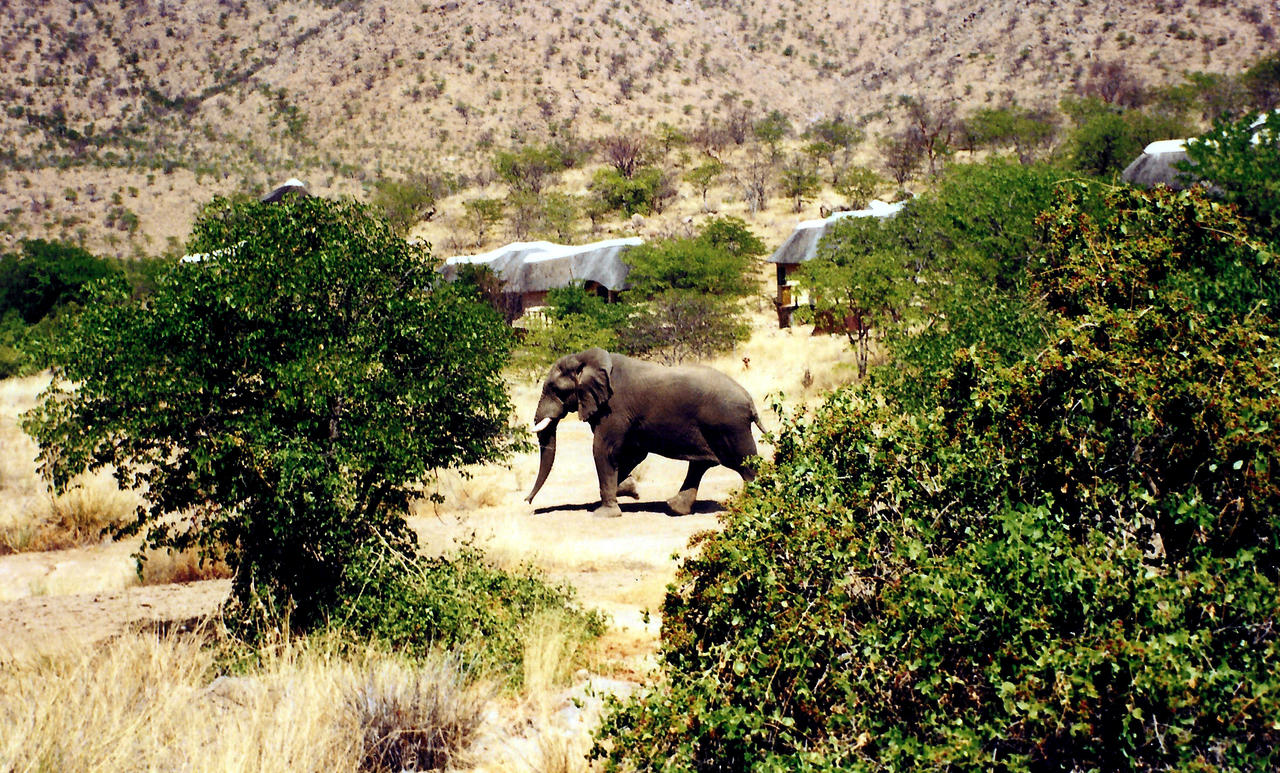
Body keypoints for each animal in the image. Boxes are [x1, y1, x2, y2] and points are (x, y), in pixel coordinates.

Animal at [527, 348, 757, 519]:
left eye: (554, 388)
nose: (527, 502)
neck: (588, 359)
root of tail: (749, 400)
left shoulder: (614, 409)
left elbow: (603, 450)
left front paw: (604, 514)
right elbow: (632, 453)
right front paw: (631, 489)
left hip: (730, 427)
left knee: (746, 466)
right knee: (701, 464)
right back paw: (674, 508)